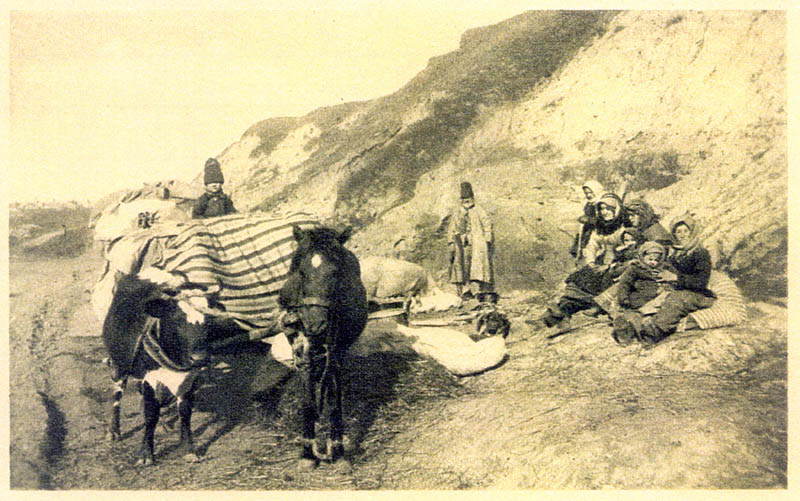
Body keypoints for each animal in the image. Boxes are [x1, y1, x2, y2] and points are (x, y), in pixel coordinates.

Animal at [279, 225, 368, 471]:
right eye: (300, 272)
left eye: (336, 272)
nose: (315, 324)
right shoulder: (302, 352)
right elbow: (308, 399)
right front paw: (307, 452)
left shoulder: (336, 353)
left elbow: (334, 399)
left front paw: (337, 450)